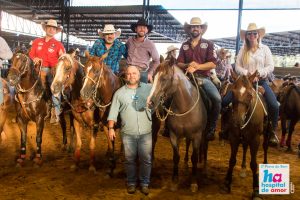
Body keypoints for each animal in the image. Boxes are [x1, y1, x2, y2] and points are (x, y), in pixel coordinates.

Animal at [148, 55, 207, 192]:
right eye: (153, 76)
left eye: (164, 78)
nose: (150, 102)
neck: (185, 107)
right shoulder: (174, 136)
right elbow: (176, 157)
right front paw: (174, 181)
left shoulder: (197, 136)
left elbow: (194, 157)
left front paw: (194, 182)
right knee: (187, 144)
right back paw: (185, 162)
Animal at [220, 71, 270, 199]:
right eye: (232, 92)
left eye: (250, 94)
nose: (238, 120)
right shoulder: (234, 137)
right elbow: (232, 160)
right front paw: (227, 183)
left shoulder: (255, 140)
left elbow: (254, 164)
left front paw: (256, 190)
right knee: (245, 147)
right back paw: (242, 168)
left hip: (265, 134)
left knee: (265, 146)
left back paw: (265, 163)